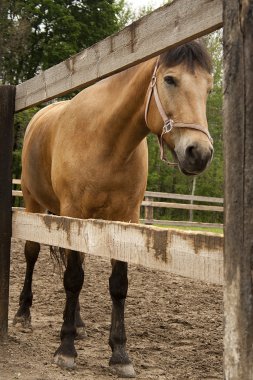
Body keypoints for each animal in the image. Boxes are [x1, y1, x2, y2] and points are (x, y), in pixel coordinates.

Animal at [13, 41, 213, 378]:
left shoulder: (126, 219)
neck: (106, 141)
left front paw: (119, 353)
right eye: (170, 79)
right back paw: (23, 314)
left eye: (209, 88)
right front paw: (66, 349)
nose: (199, 153)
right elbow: (73, 279)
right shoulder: (73, 213)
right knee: (33, 254)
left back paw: (78, 323)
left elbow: (117, 285)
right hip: (33, 204)